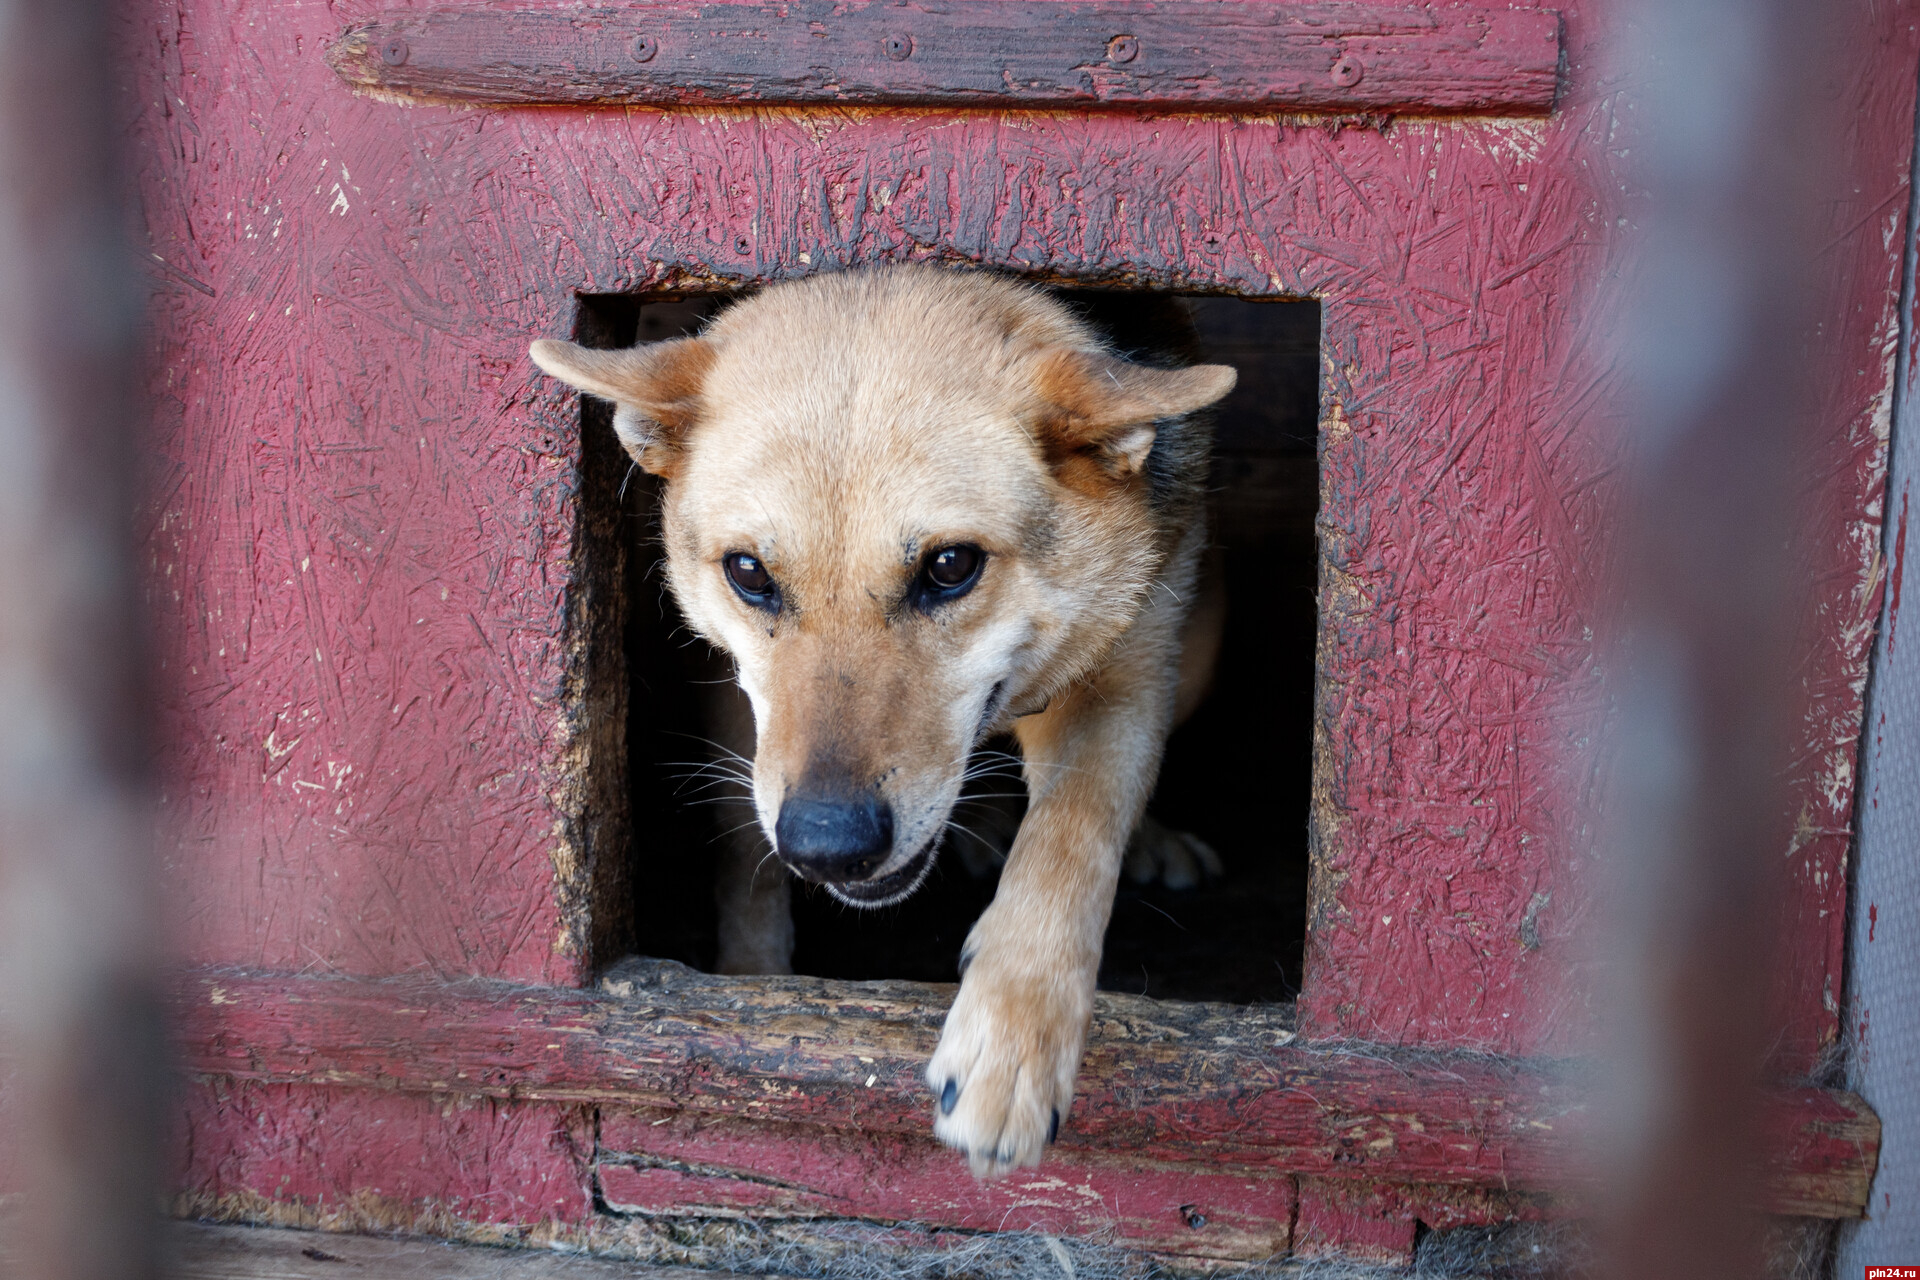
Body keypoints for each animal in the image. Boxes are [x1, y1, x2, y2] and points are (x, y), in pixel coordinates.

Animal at [533, 264, 1236, 1174]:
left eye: (951, 565)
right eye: (749, 573)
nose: (827, 845)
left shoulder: (1127, 679)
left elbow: (1072, 836)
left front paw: (1013, 1038)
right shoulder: (737, 696)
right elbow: (745, 847)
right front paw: (753, 985)